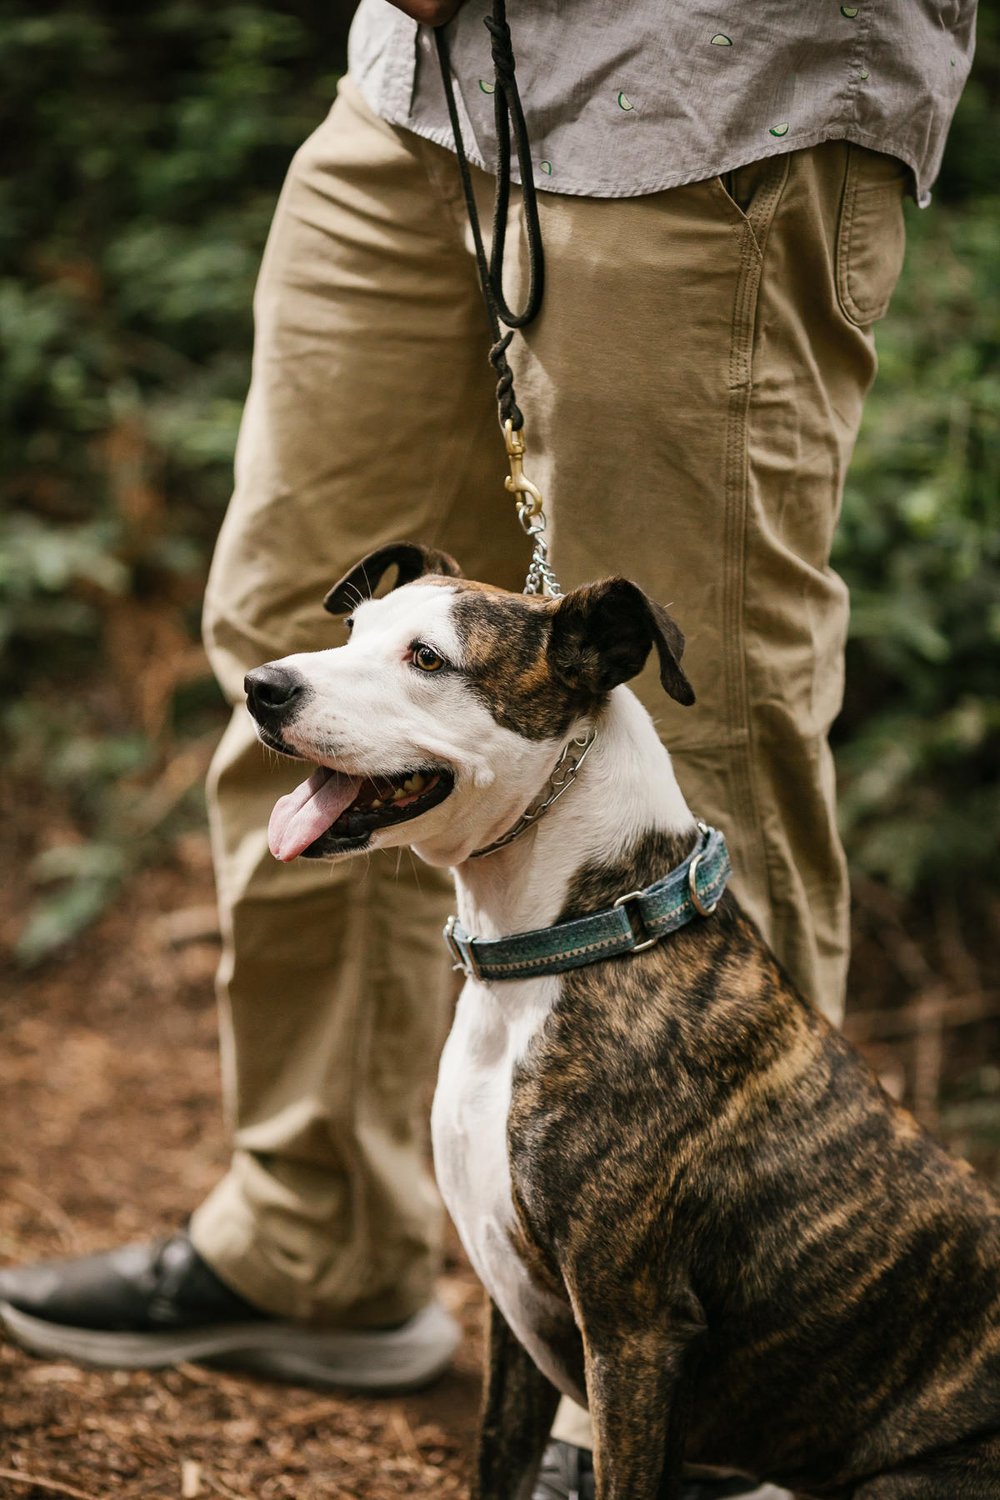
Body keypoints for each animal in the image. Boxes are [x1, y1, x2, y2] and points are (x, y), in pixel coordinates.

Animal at [244, 546, 1000, 1500]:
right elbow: (496, 1463)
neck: (570, 940)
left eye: (427, 659)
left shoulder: (632, 1332)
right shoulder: (513, 1310)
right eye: (351, 630)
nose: (261, 687)